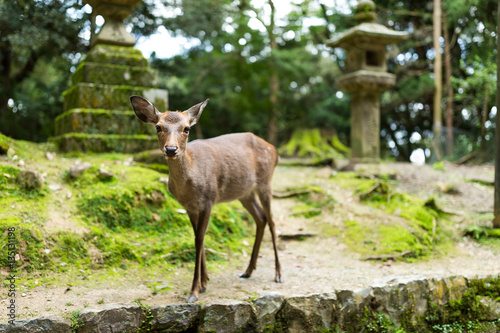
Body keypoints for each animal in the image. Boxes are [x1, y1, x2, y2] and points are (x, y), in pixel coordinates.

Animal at [131, 94, 282, 302]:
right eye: (158, 127)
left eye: (187, 128)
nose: (171, 149)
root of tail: (274, 150)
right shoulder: (189, 206)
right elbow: (198, 238)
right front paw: (204, 282)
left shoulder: (208, 200)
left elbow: (199, 240)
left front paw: (194, 291)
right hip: (245, 193)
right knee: (261, 218)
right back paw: (248, 270)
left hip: (265, 182)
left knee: (272, 221)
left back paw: (278, 274)